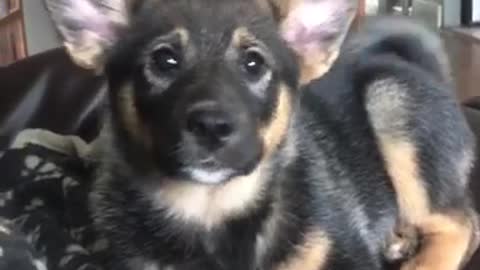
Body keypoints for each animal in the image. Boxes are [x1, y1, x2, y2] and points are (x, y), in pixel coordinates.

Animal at [44, 0, 476, 268]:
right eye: (164, 60)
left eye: (254, 64)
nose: (212, 127)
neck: (211, 211)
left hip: (388, 103)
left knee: (462, 223)